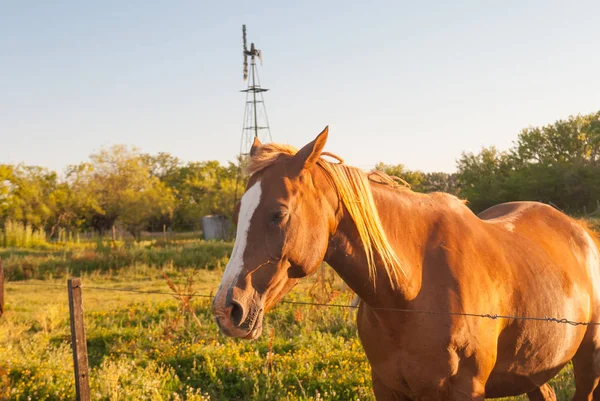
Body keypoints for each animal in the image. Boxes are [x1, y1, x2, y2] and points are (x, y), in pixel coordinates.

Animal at [211, 126, 600, 398]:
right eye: (237, 213)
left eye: (278, 214)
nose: (227, 309)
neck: (411, 293)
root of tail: (582, 233)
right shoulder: (387, 387)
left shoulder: (466, 390)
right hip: (533, 368)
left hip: (587, 365)